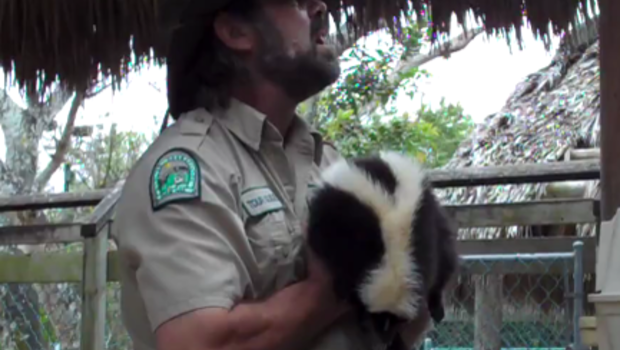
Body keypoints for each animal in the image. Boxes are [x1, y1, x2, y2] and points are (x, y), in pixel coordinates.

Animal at [308, 151, 458, 348]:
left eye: (398, 322)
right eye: (377, 318)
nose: (386, 340)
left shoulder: (424, 227)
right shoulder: (351, 236)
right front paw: (349, 297)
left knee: (446, 255)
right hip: (326, 210)